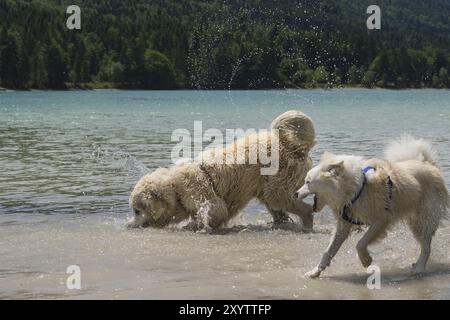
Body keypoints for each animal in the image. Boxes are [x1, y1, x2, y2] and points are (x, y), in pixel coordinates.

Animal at [128, 111, 314, 231]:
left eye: (137, 211)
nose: (128, 225)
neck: (175, 189)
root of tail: (292, 146)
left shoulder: (206, 199)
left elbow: (213, 214)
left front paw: (192, 227)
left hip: (277, 189)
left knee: (304, 209)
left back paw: (307, 226)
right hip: (266, 188)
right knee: (279, 210)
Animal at [298, 135, 448, 278]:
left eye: (308, 182)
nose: (295, 193)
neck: (354, 191)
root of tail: (429, 164)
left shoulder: (381, 220)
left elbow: (361, 242)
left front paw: (366, 260)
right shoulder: (343, 226)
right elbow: (328, 251)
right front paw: (314, 272)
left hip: (425, 217)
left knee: (426, 246)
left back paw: (419, 268)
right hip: (415, 223)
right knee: (424, 244)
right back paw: (416, 264)